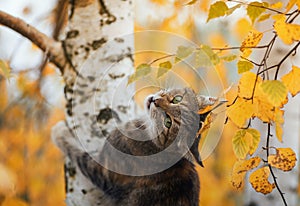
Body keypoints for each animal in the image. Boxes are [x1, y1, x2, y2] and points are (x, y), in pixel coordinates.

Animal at [53, 87, 218, 206]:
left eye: (168, 122)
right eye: (177, 99)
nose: (155, 101)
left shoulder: (104, 171)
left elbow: (77, 154)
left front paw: (60, 131)